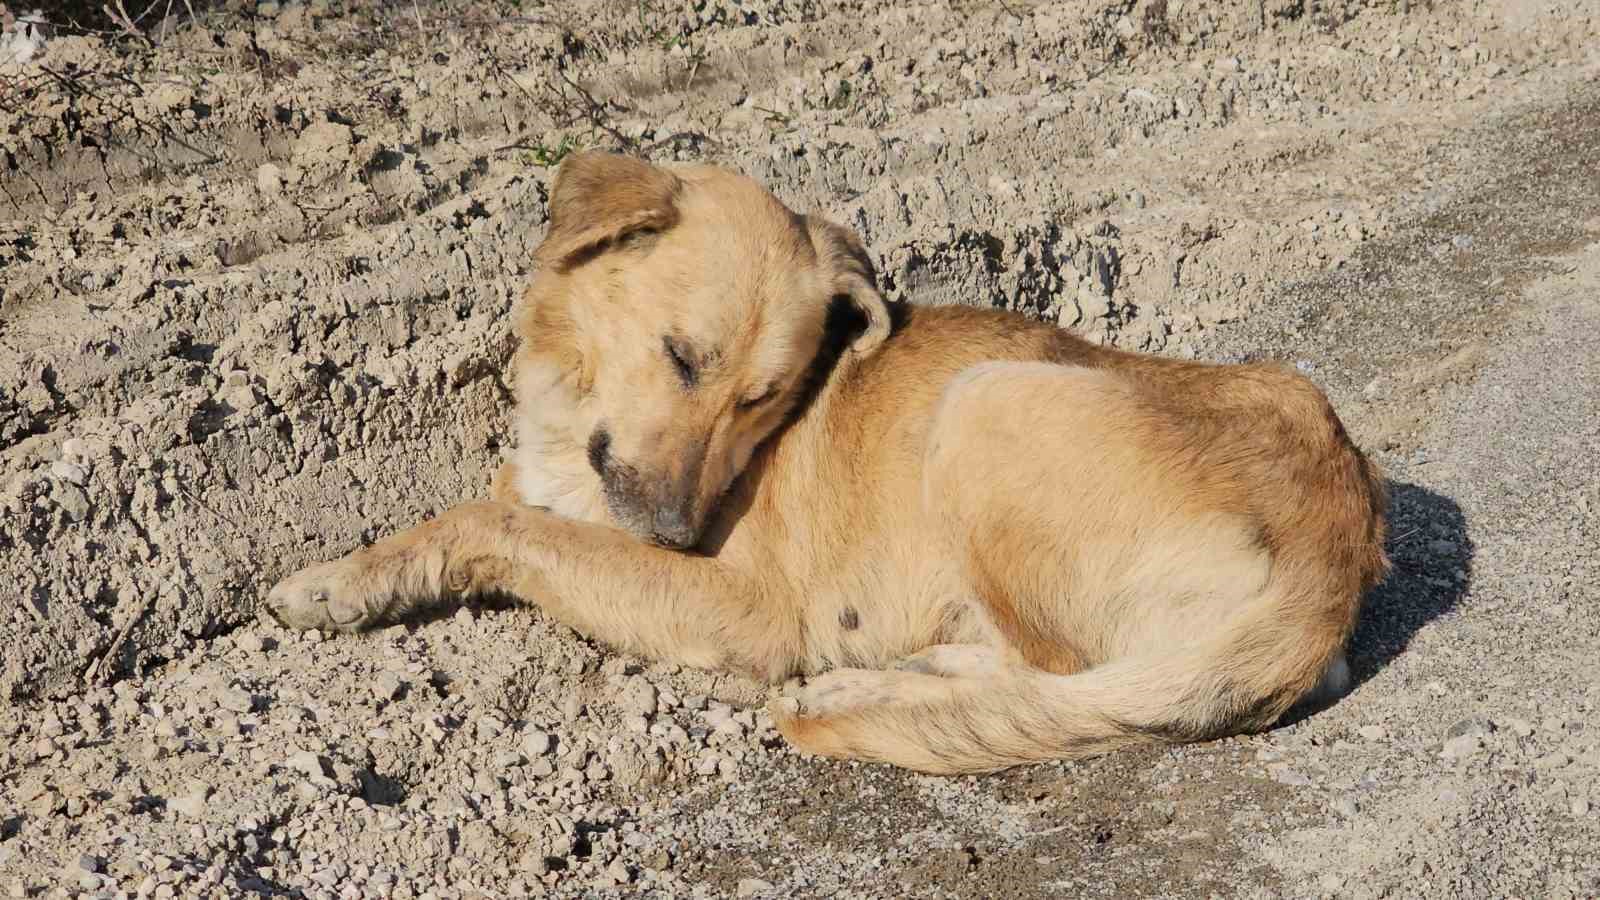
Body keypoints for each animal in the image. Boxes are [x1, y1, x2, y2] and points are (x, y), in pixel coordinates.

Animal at [268, 152, 1395, 771]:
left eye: (763, 397)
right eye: (683, 358)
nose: (677, 534)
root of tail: (1338, 541)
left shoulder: (743, 608)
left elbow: (489, 520)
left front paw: (336, 582)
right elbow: (496, 509)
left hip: (986, 403)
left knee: (1063, 677)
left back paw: (857, 695)